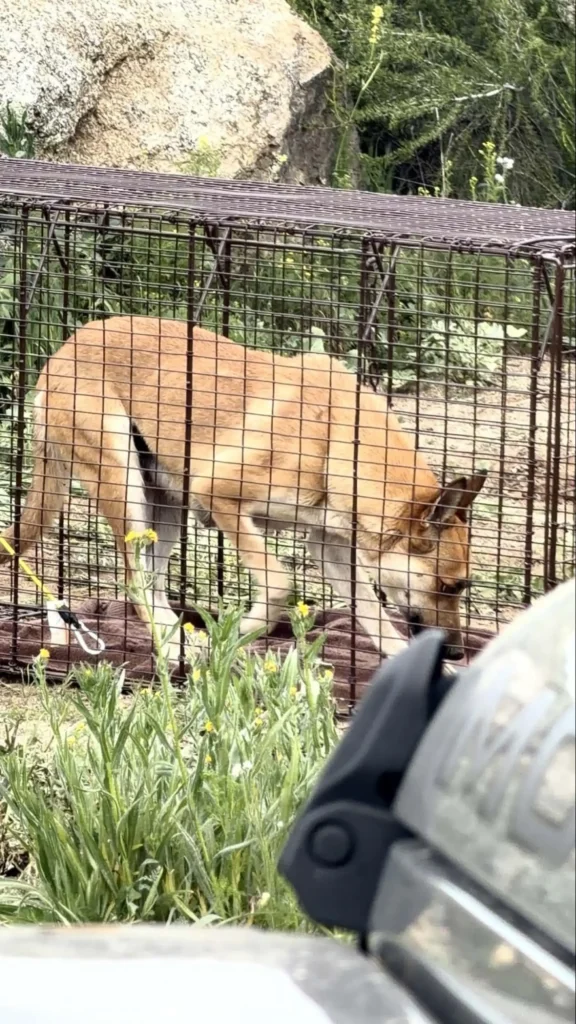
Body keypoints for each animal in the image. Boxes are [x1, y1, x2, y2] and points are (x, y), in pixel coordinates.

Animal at [0, 316, 486, 663]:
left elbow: (375, 617)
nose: (457, 652)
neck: (338, 443)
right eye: (452, 586)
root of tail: (64, 348)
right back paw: (176, 648)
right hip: (127, 490)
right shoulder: (221, 500)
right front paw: (236, 635)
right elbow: (279, 583)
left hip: (165, 507)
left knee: (151, 584)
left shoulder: (330, 548)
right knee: (136, 583)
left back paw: (179, 644)